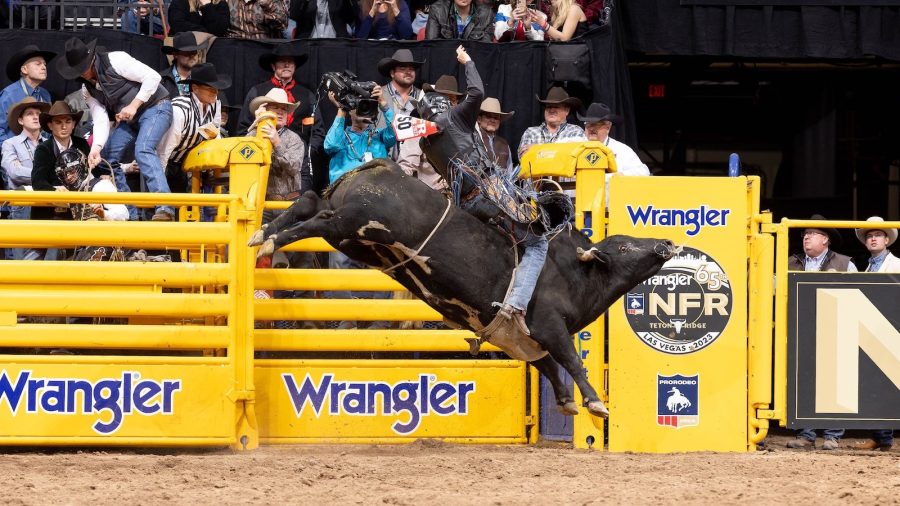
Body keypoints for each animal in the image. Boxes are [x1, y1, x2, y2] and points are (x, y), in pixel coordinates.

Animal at [250, 159, 674, 418]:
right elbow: (570, 360)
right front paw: (596, 403)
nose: (665, 243)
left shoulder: (522, 341)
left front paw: (568, 402)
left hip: (350, 236)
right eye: (623, 246)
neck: (575, 274)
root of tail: (384, 165)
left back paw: (262, 234)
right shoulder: (549, 326)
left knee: (308, 203)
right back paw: (270, 242)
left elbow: (549, 366)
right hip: (355, 222)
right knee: (317, 217)